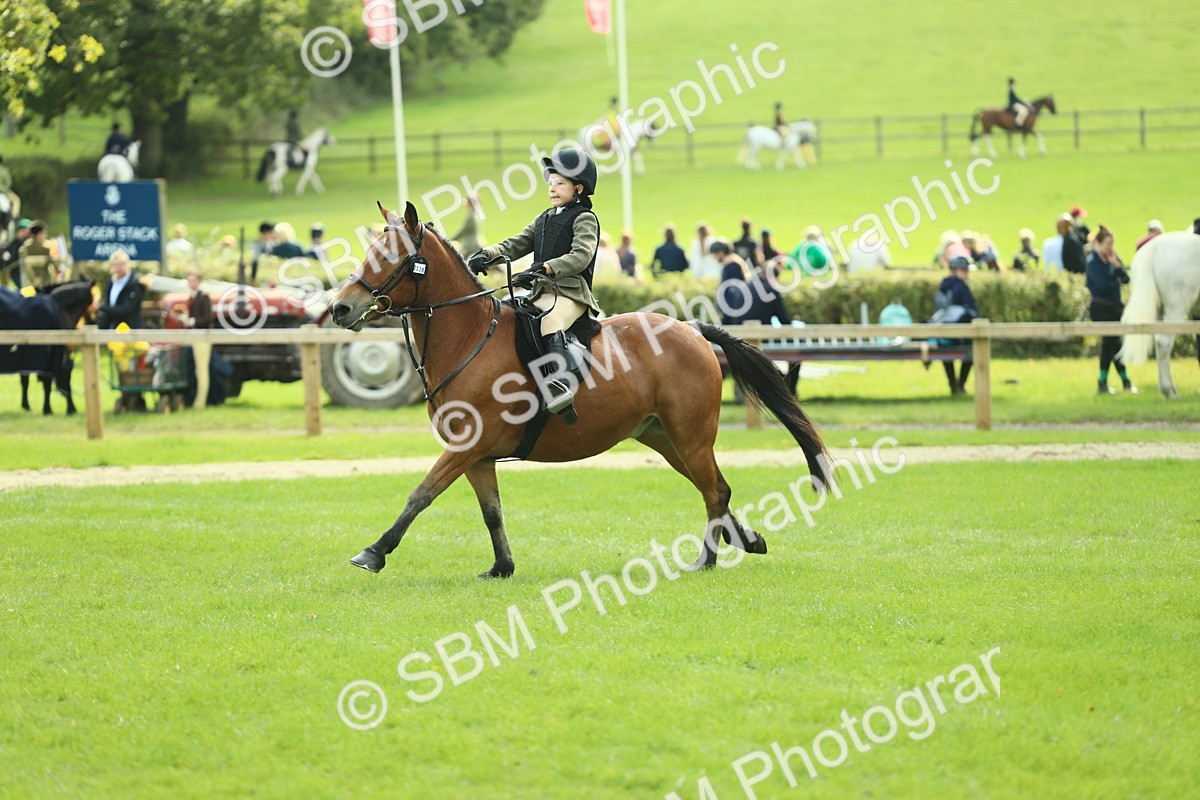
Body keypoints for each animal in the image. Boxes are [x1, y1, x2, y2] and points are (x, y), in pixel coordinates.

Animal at [0, 281, 95, 415]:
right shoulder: (53, 357)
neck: (60, 310)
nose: (95, 320)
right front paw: (55, 409)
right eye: (93, 300)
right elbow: (54, 382)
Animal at [327, 201, 832, 578]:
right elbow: (492, 512)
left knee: (715, 492)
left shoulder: (466, 447)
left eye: (391, 258)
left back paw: (706, 560)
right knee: (716, 489)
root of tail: (690, 329)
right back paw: (747, 541)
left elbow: (421, 494)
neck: (469, 337)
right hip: (665, 439)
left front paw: (374, 552)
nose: (339, 308)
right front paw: (502, 567)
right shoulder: (477, 455)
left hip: (689, 436)